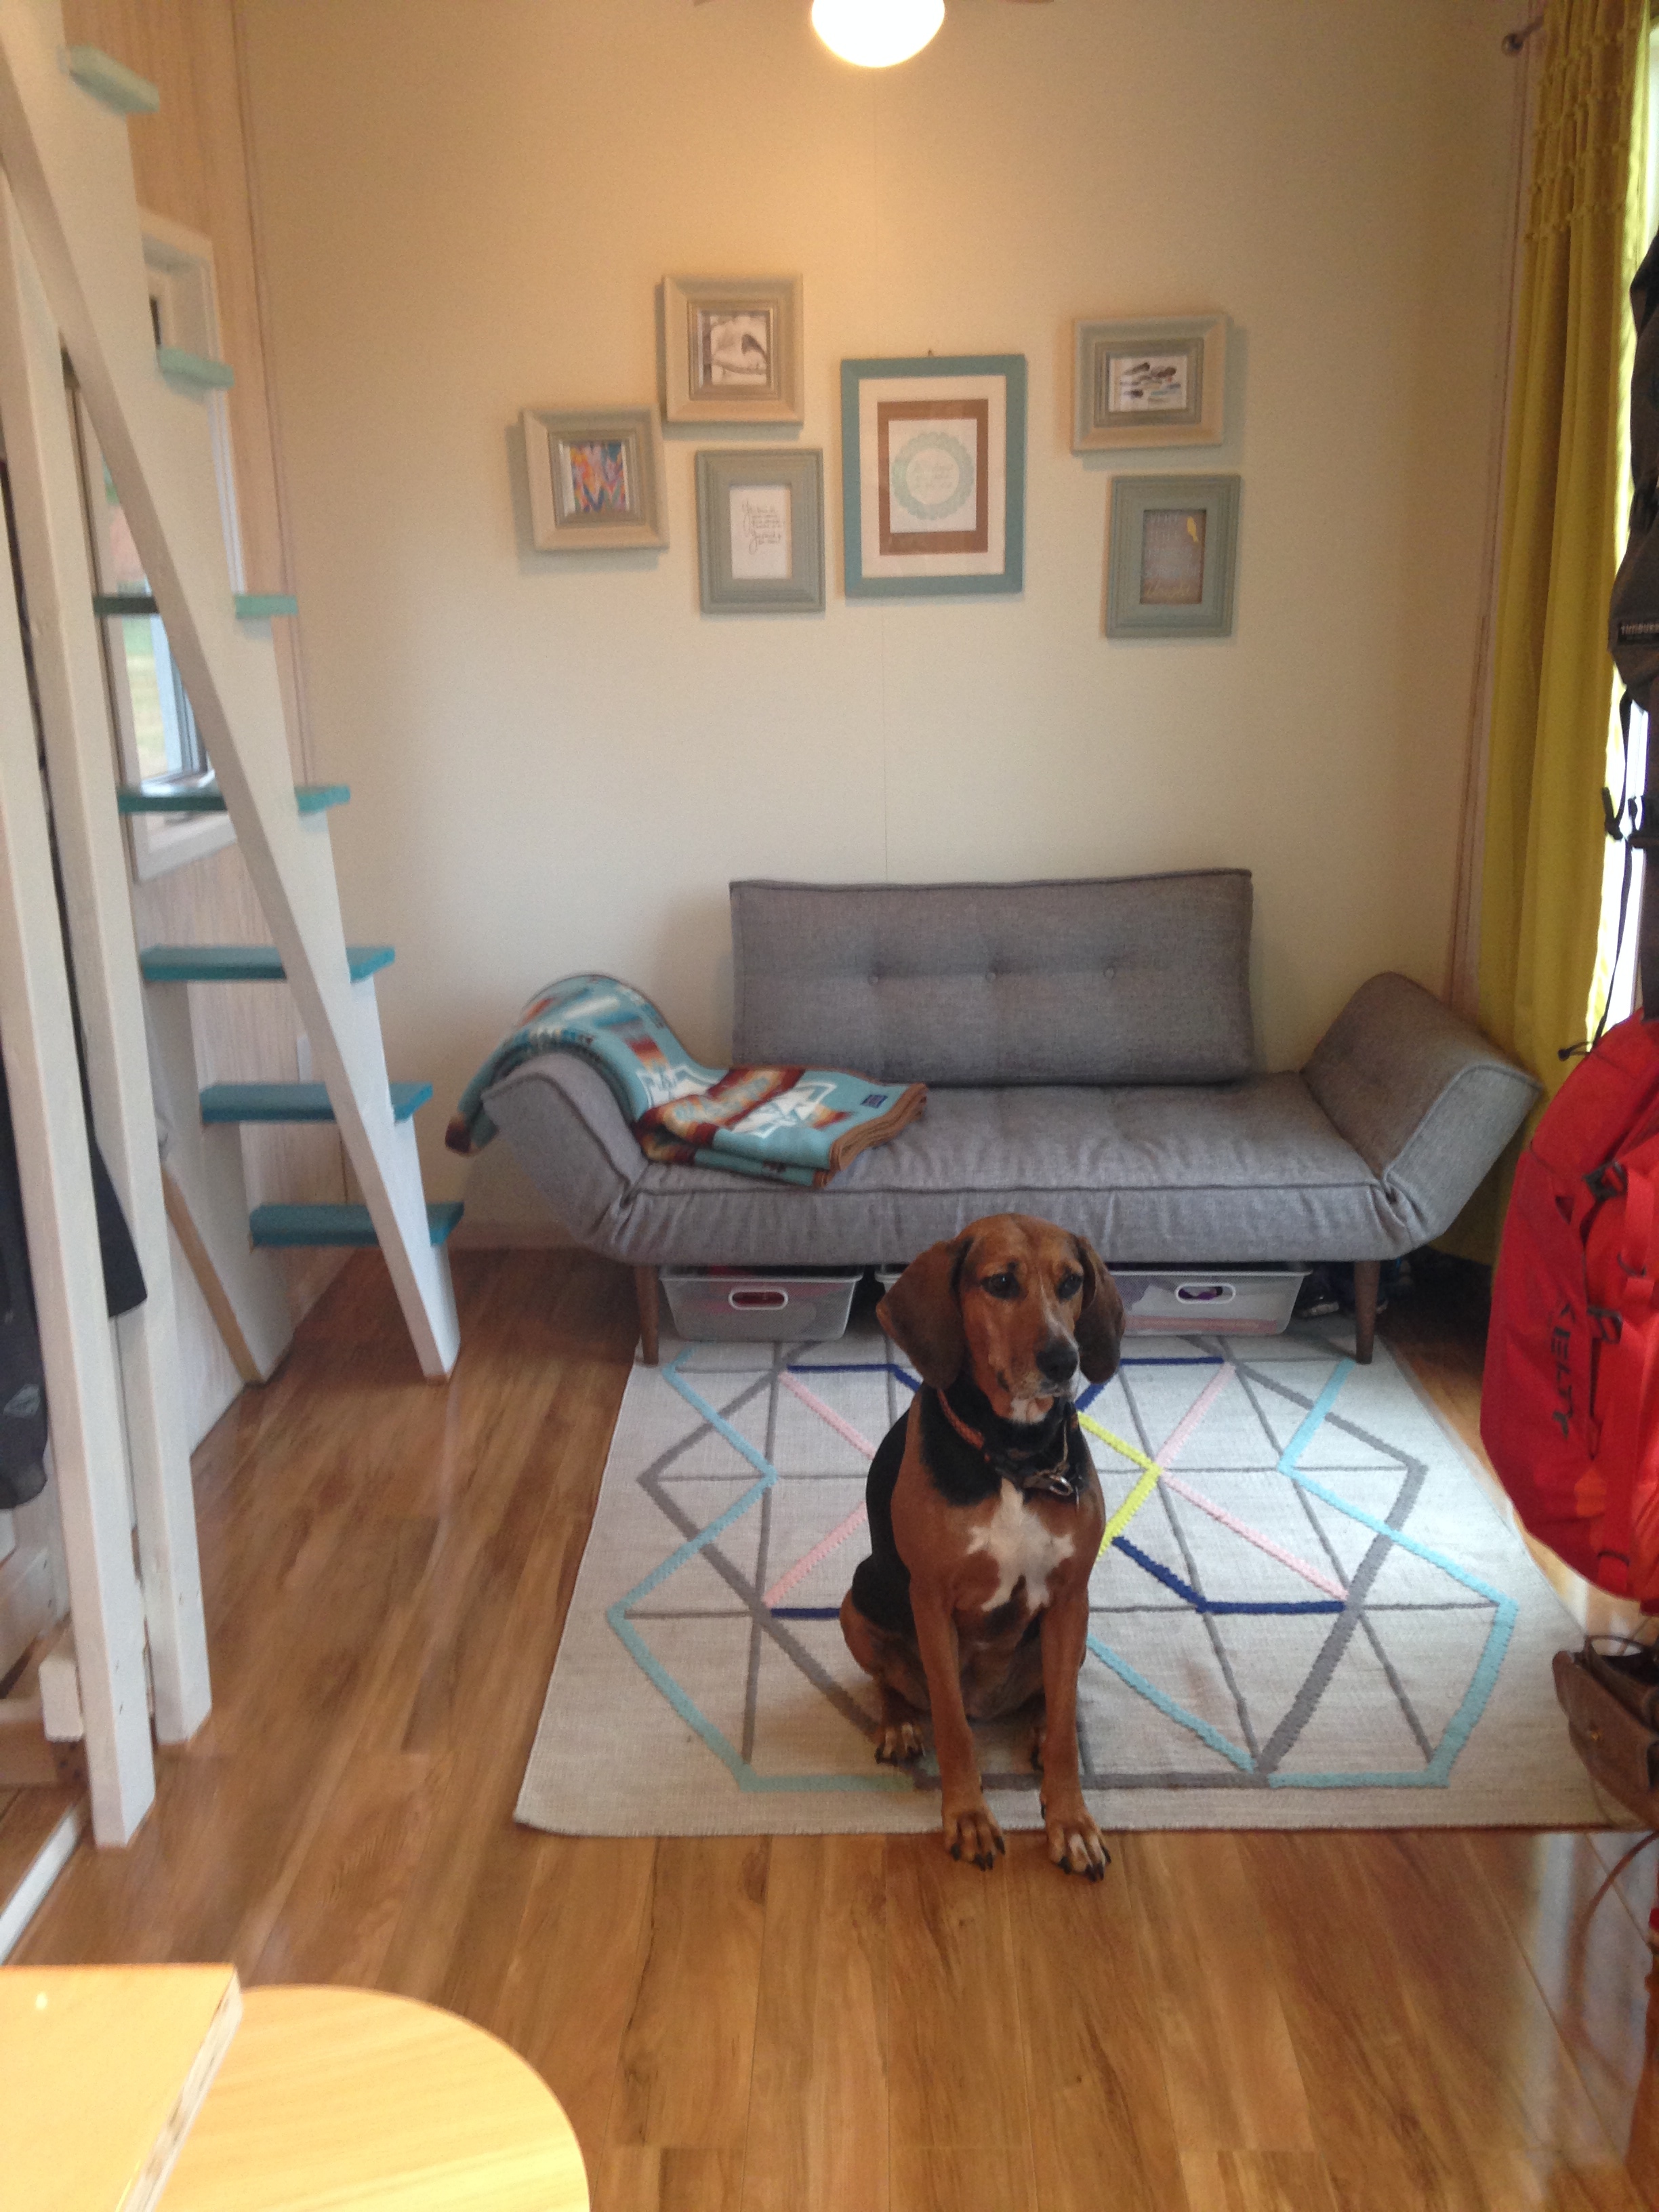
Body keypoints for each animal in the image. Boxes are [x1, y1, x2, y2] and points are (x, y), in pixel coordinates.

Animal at [839, 1213, 1124, 1878]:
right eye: (999, 1284)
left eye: (1072, 1282)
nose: (1064, 1360)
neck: (1013, 1453)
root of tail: (989, 1703)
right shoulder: (932, 1602)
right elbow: (950, 1725)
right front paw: (967, 1817)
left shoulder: (1070, 1597)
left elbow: (1067, 1730)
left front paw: (1070, 1821)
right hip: (857, 1598)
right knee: (891, 1683)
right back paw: (898, 1726)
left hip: (1078, 1629)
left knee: (1053, 1698)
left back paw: (1039, 1729)